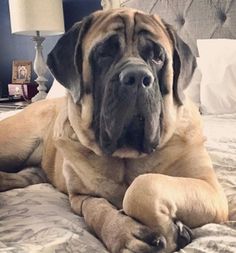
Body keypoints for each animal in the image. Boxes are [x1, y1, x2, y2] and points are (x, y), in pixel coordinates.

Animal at [0, 7, 229, 253]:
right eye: (104, 53)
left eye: (157, 56)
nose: (137, 77)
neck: (126, 157)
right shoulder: (80, 196)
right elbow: (97, 207)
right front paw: (127, 232)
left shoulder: (210, 189)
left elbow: (142, 185)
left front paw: (169, 228)